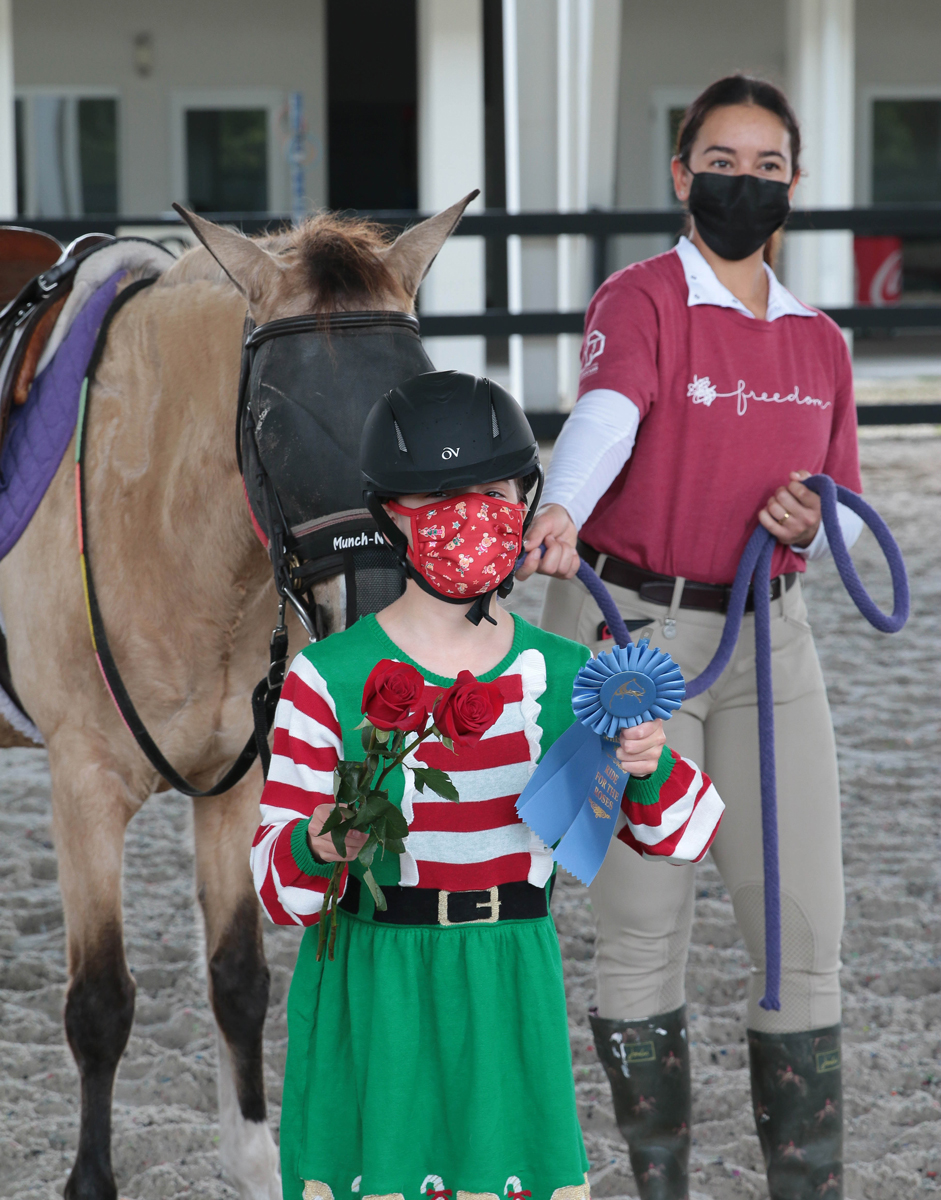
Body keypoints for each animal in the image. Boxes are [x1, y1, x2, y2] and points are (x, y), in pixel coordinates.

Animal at [0, 192, 475, 1200]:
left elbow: (238, 978)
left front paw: (255, 1159)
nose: (379, 604)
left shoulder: (237, 781)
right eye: (272, 420)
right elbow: (99, 1004)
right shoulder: (83, 789)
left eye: (419, 403)